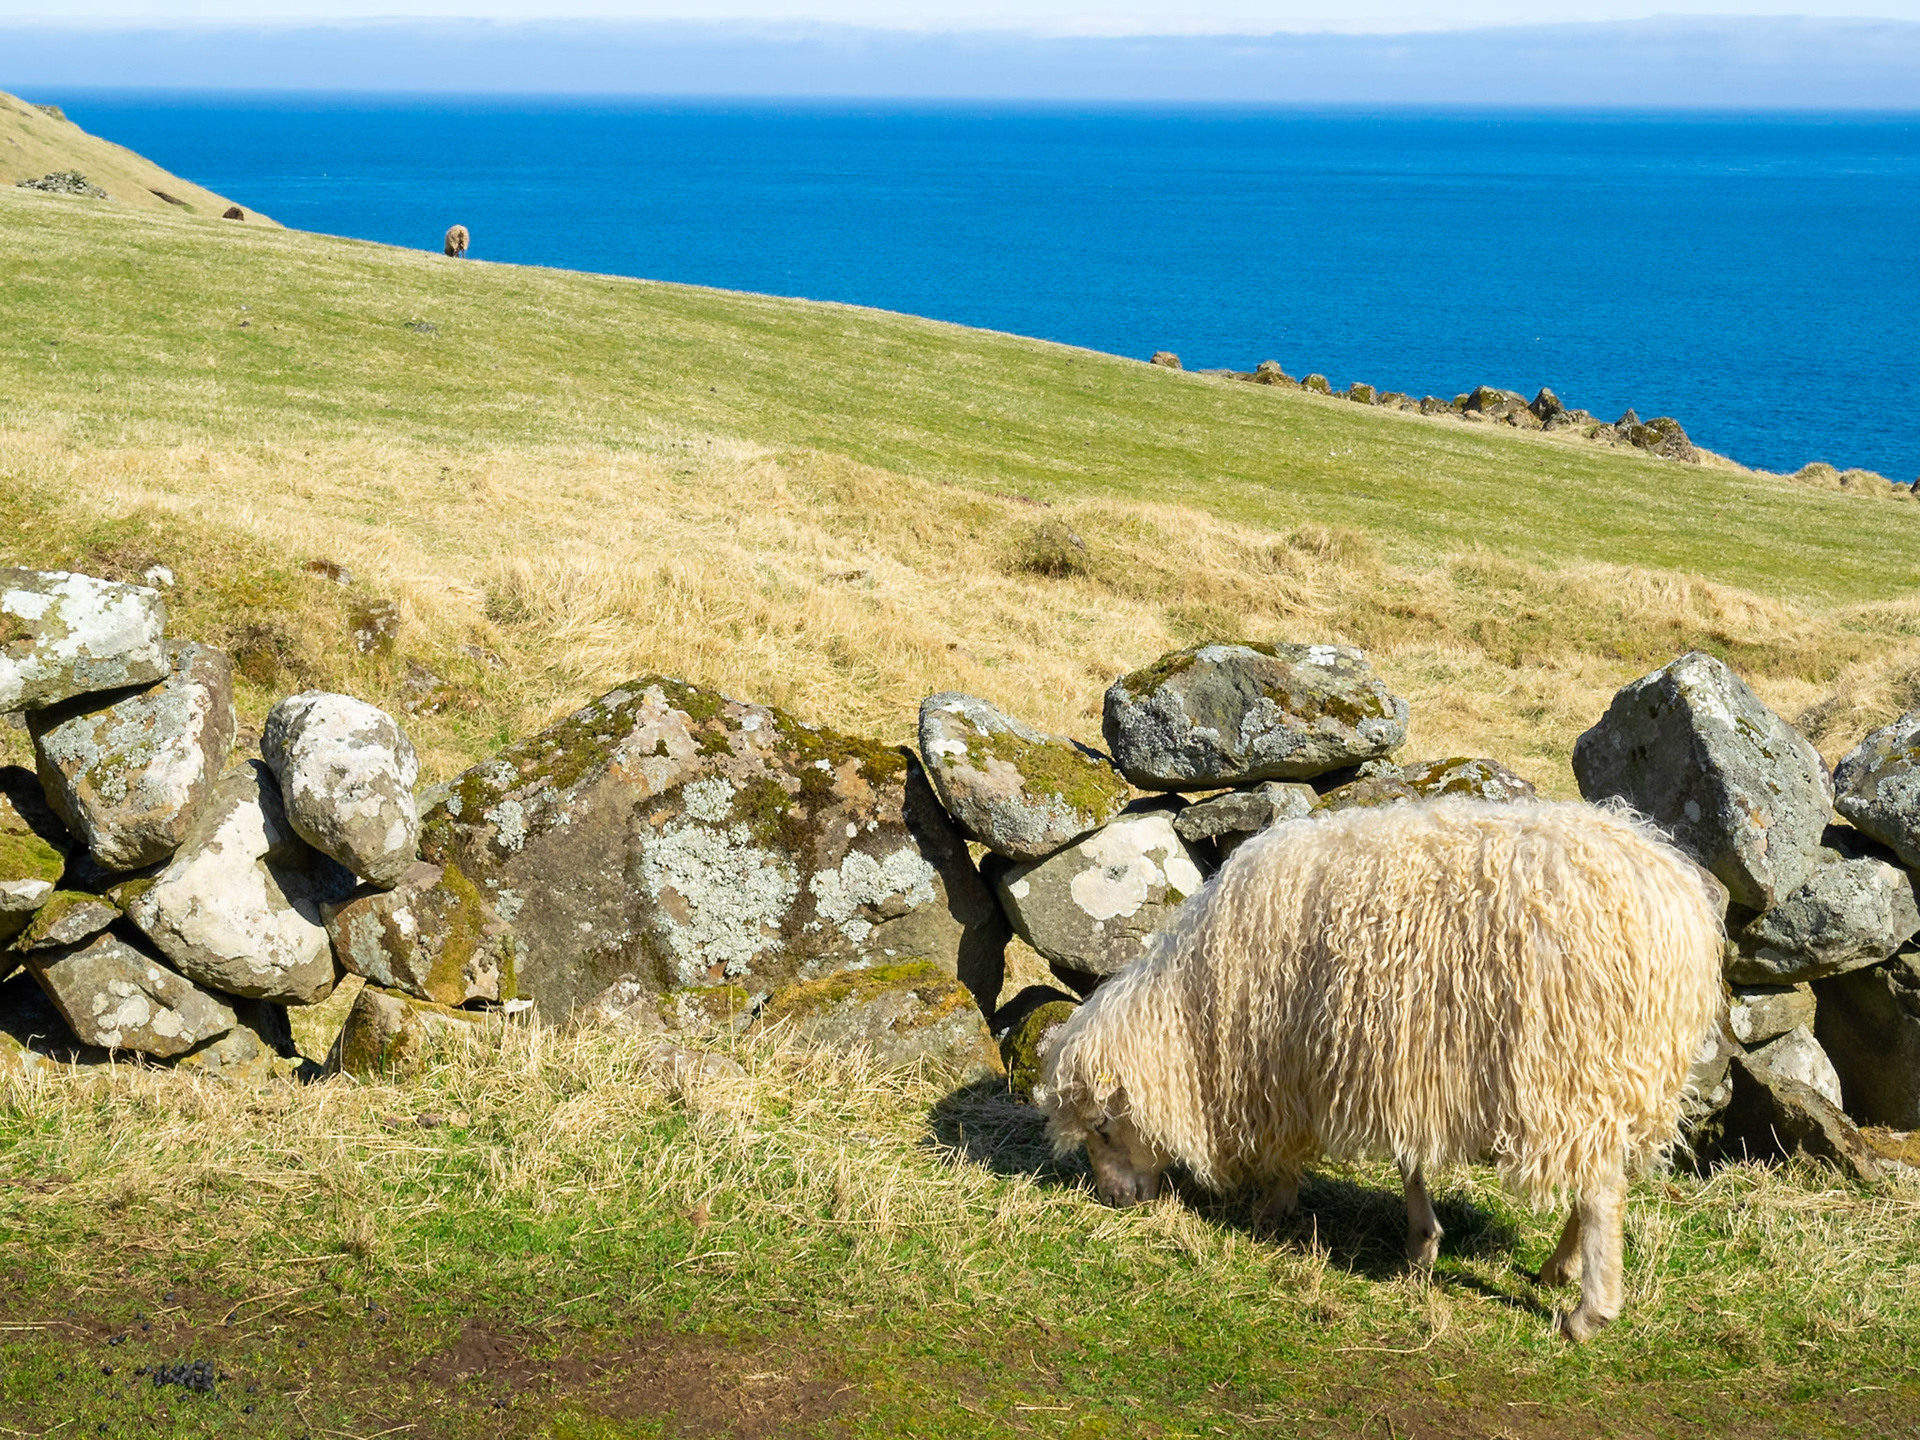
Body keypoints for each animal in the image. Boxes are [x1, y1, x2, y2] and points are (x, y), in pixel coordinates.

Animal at [1037, 797, 1724, 1342]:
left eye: (1102, 1125)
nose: (1113, 1200)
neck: (1199, 1011)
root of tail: (1671, 891)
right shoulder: (1394, 1062)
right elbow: (1409, 1159)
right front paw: (1422, 1244)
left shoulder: (1303, 1062)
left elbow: (1312, 1151)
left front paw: (1277, 1208)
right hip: (1621, 1077)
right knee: (1597, 1177)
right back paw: (1560, 1267)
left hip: (1574, 1066)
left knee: (1602, 1191)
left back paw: (1589, 1312)